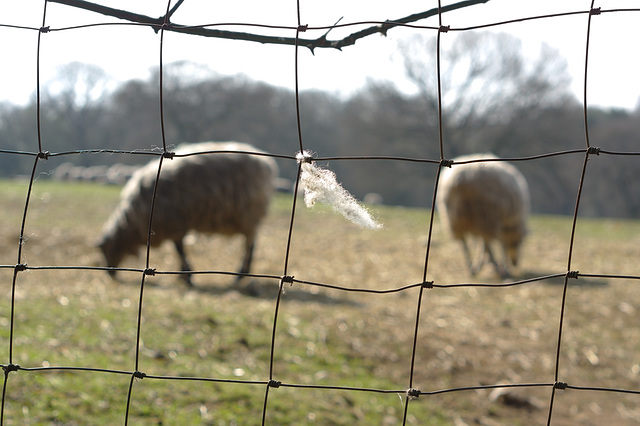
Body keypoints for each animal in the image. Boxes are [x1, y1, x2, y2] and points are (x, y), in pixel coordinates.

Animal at [97, 141, 278, 284]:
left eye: (107, 250)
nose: (110, 274)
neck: (134, 218)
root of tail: (267, 163)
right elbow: (179, 248)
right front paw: (184, 275)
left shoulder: (174, 223)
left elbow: (179, 249)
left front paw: (187, 275)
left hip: (249, 215)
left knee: (250, 246)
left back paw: (241, 274)